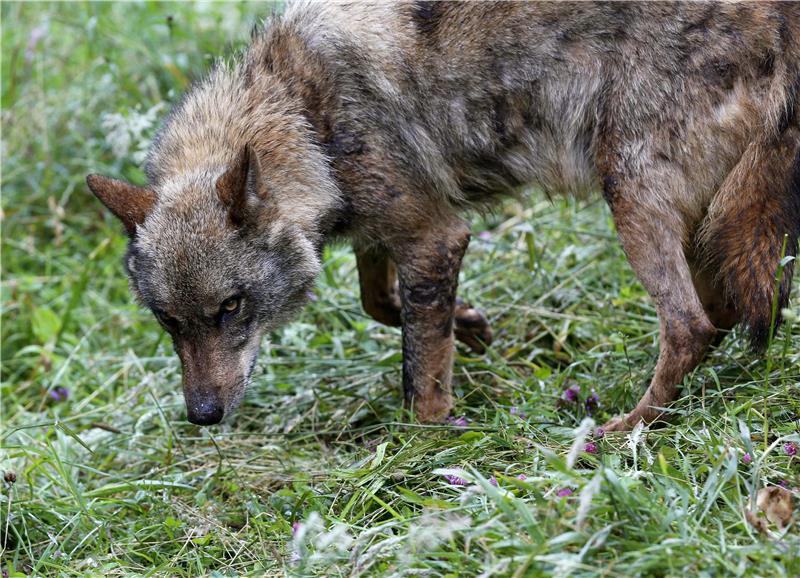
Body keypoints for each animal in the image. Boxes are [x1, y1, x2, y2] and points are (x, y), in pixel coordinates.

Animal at [87, 2, 800, 430]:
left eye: (230, 309)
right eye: (168, 321)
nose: (203, 416)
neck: (303, 114)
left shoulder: (433, 236)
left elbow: (418, 370)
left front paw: (426, 446)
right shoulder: (383, 229)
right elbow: (382, 303)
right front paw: (472, 326)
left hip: (630, 199)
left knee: (691, 326)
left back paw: (623, 432)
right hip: (706, 225)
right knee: (730, 310)